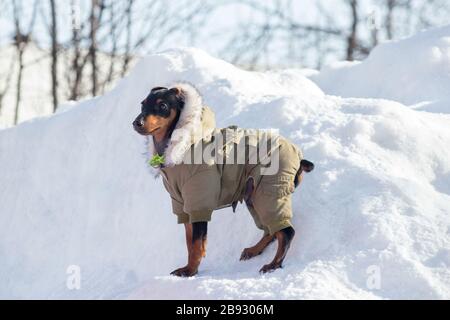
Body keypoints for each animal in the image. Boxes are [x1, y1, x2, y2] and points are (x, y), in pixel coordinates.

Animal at [133, 84, 312, 276]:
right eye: (142, 105)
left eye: (163, 106)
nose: (136, 123)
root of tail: (299, 157)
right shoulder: (182, 205)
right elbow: (190, 242)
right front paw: (189, 269)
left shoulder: (198, 203)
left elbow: (196, 244)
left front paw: (190, 271)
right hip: (254, 195)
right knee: (271, 231)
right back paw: (254, 250)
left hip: (268, 191)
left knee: (286, 232)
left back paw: (273, 265)